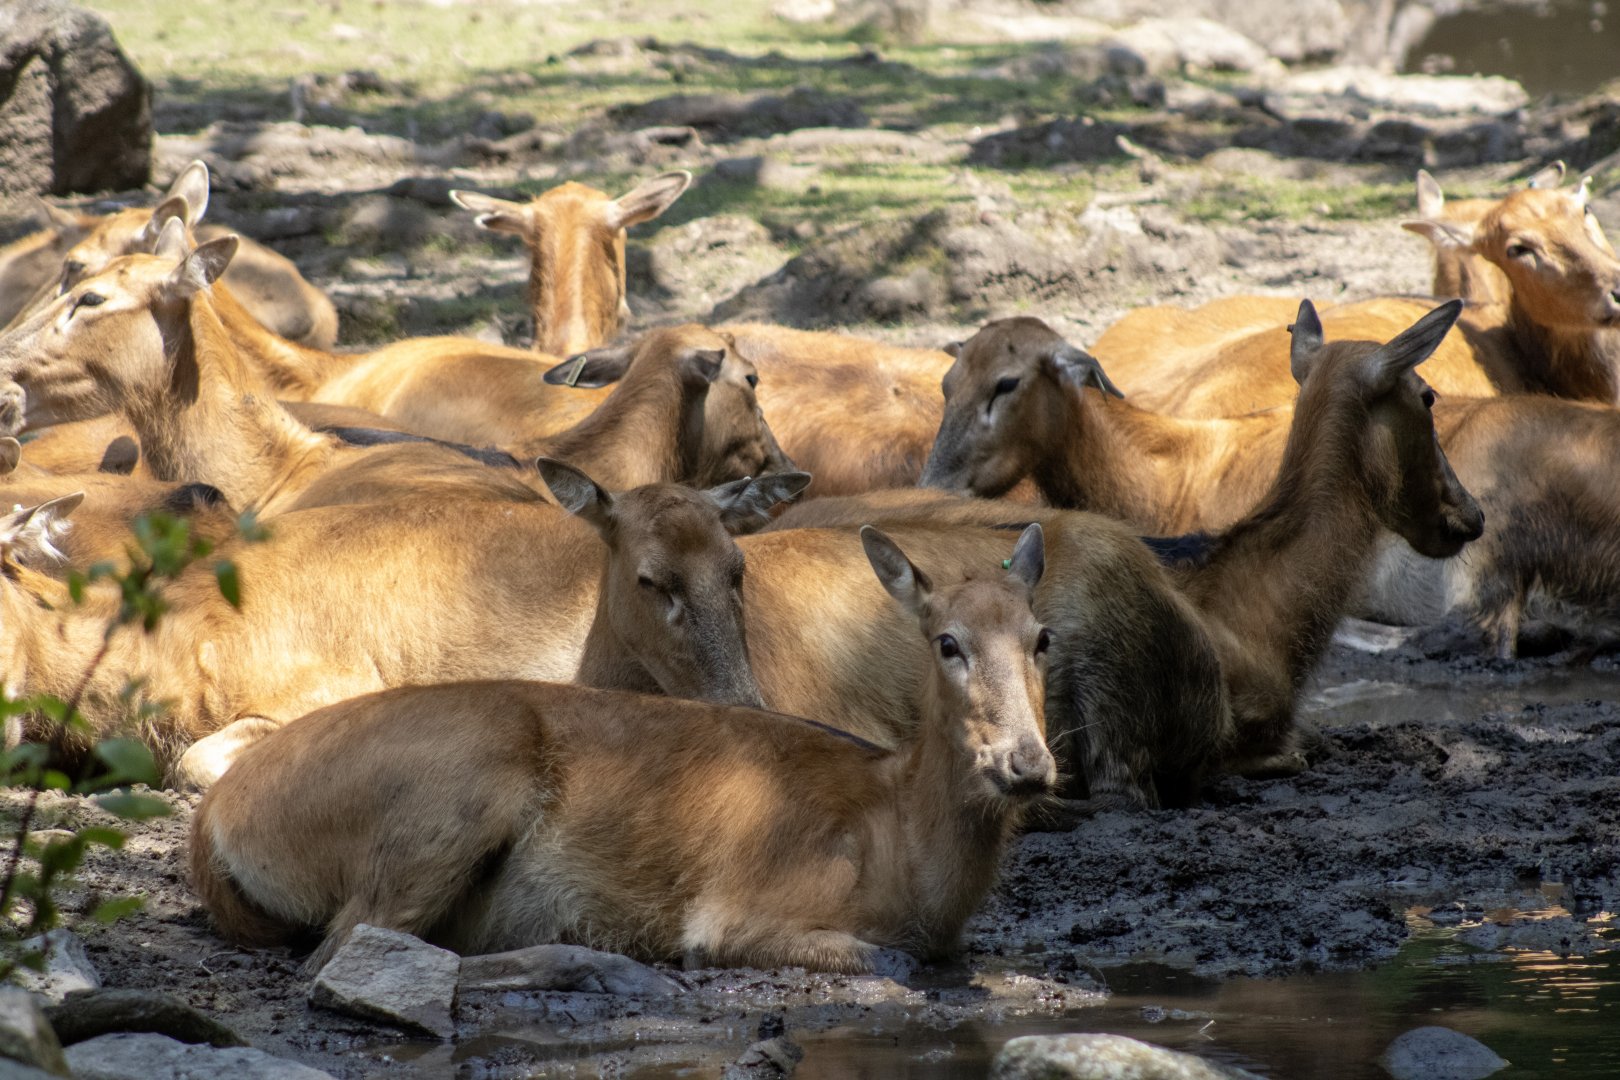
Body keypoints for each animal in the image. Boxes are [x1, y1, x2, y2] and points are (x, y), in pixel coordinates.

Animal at [189, 524, 1054, 974]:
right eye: (947, 641)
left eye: (1042, 637)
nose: (1028, 763)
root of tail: (213, 824)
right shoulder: (737, 909)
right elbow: (874, 957)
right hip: (457, 783)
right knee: (345, 947)